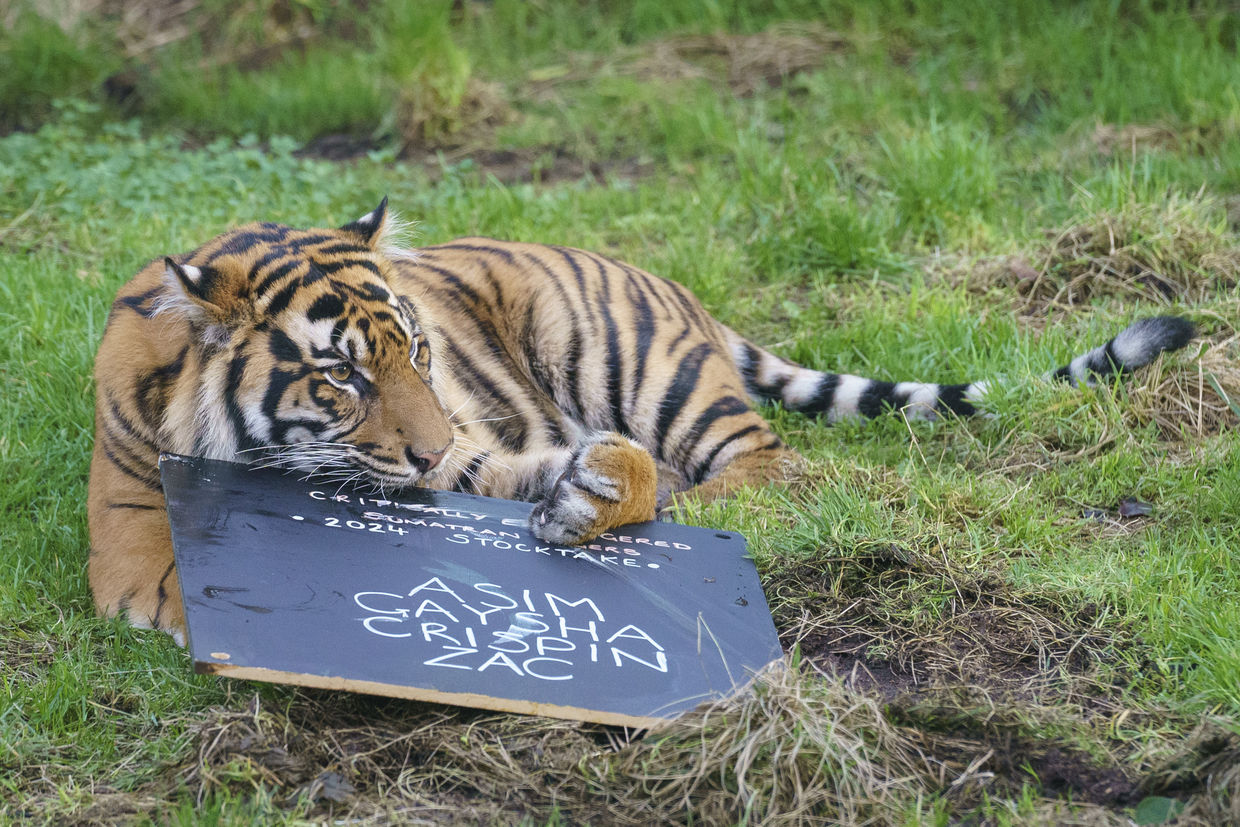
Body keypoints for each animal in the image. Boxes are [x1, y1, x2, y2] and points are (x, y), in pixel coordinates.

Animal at [88, 199, 1196, 644]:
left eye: (419, 352)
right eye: (341, 374)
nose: (433, 447)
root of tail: (682, 289)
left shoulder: (473, 455)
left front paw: (602, 496)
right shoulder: (135, 533)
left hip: (628, 355)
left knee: (769, 460)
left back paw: (700, 503)